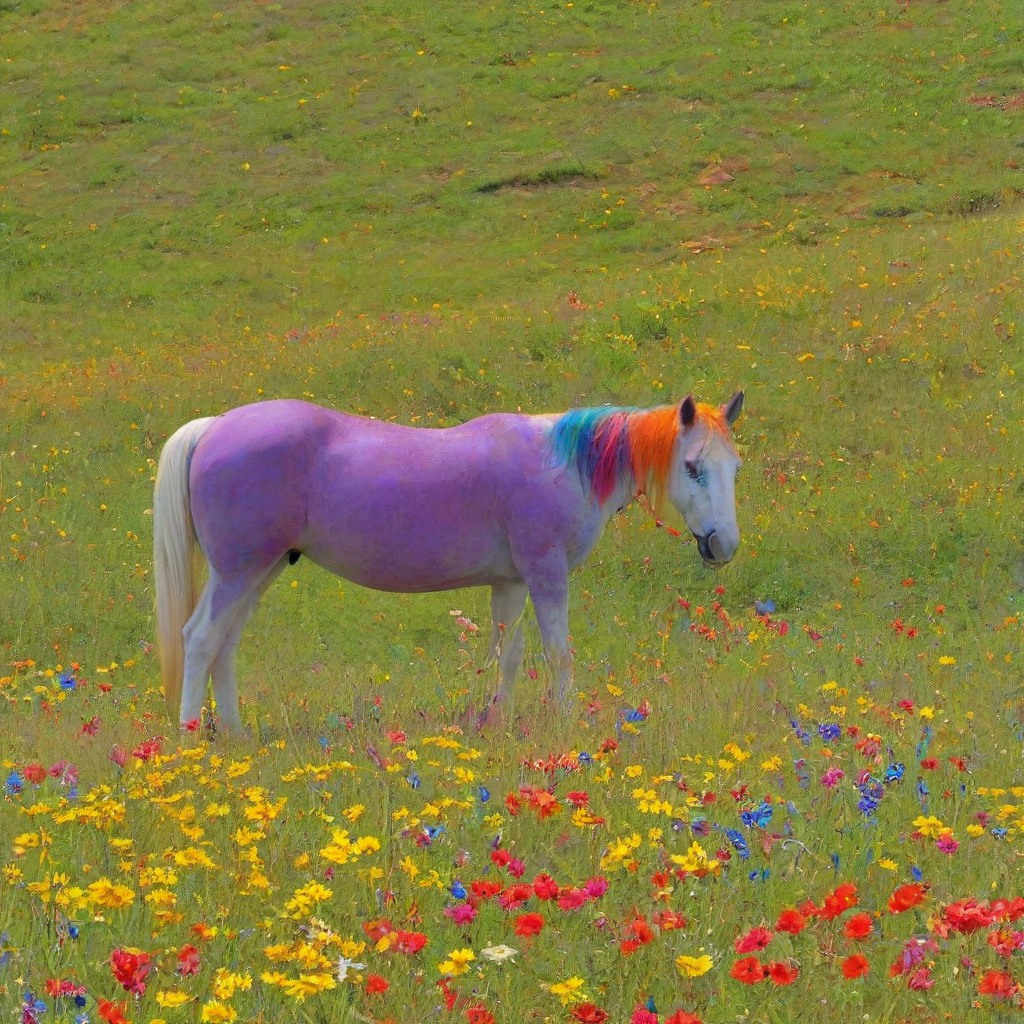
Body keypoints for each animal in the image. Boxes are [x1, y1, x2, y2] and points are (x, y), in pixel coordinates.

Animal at [154, 391, 744, 733]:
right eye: (693, 467)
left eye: (734, 466)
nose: (724, 546)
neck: (561, 462)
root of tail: (214, 426)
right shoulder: (545, 573)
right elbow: (558, 653)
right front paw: (567, 721)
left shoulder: (511, 582)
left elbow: (509, 654)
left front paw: (495, 722)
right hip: (237, 574)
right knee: (201, 639)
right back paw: (191, 741)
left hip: (260, 570)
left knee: (225, 646)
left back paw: (235, 736)